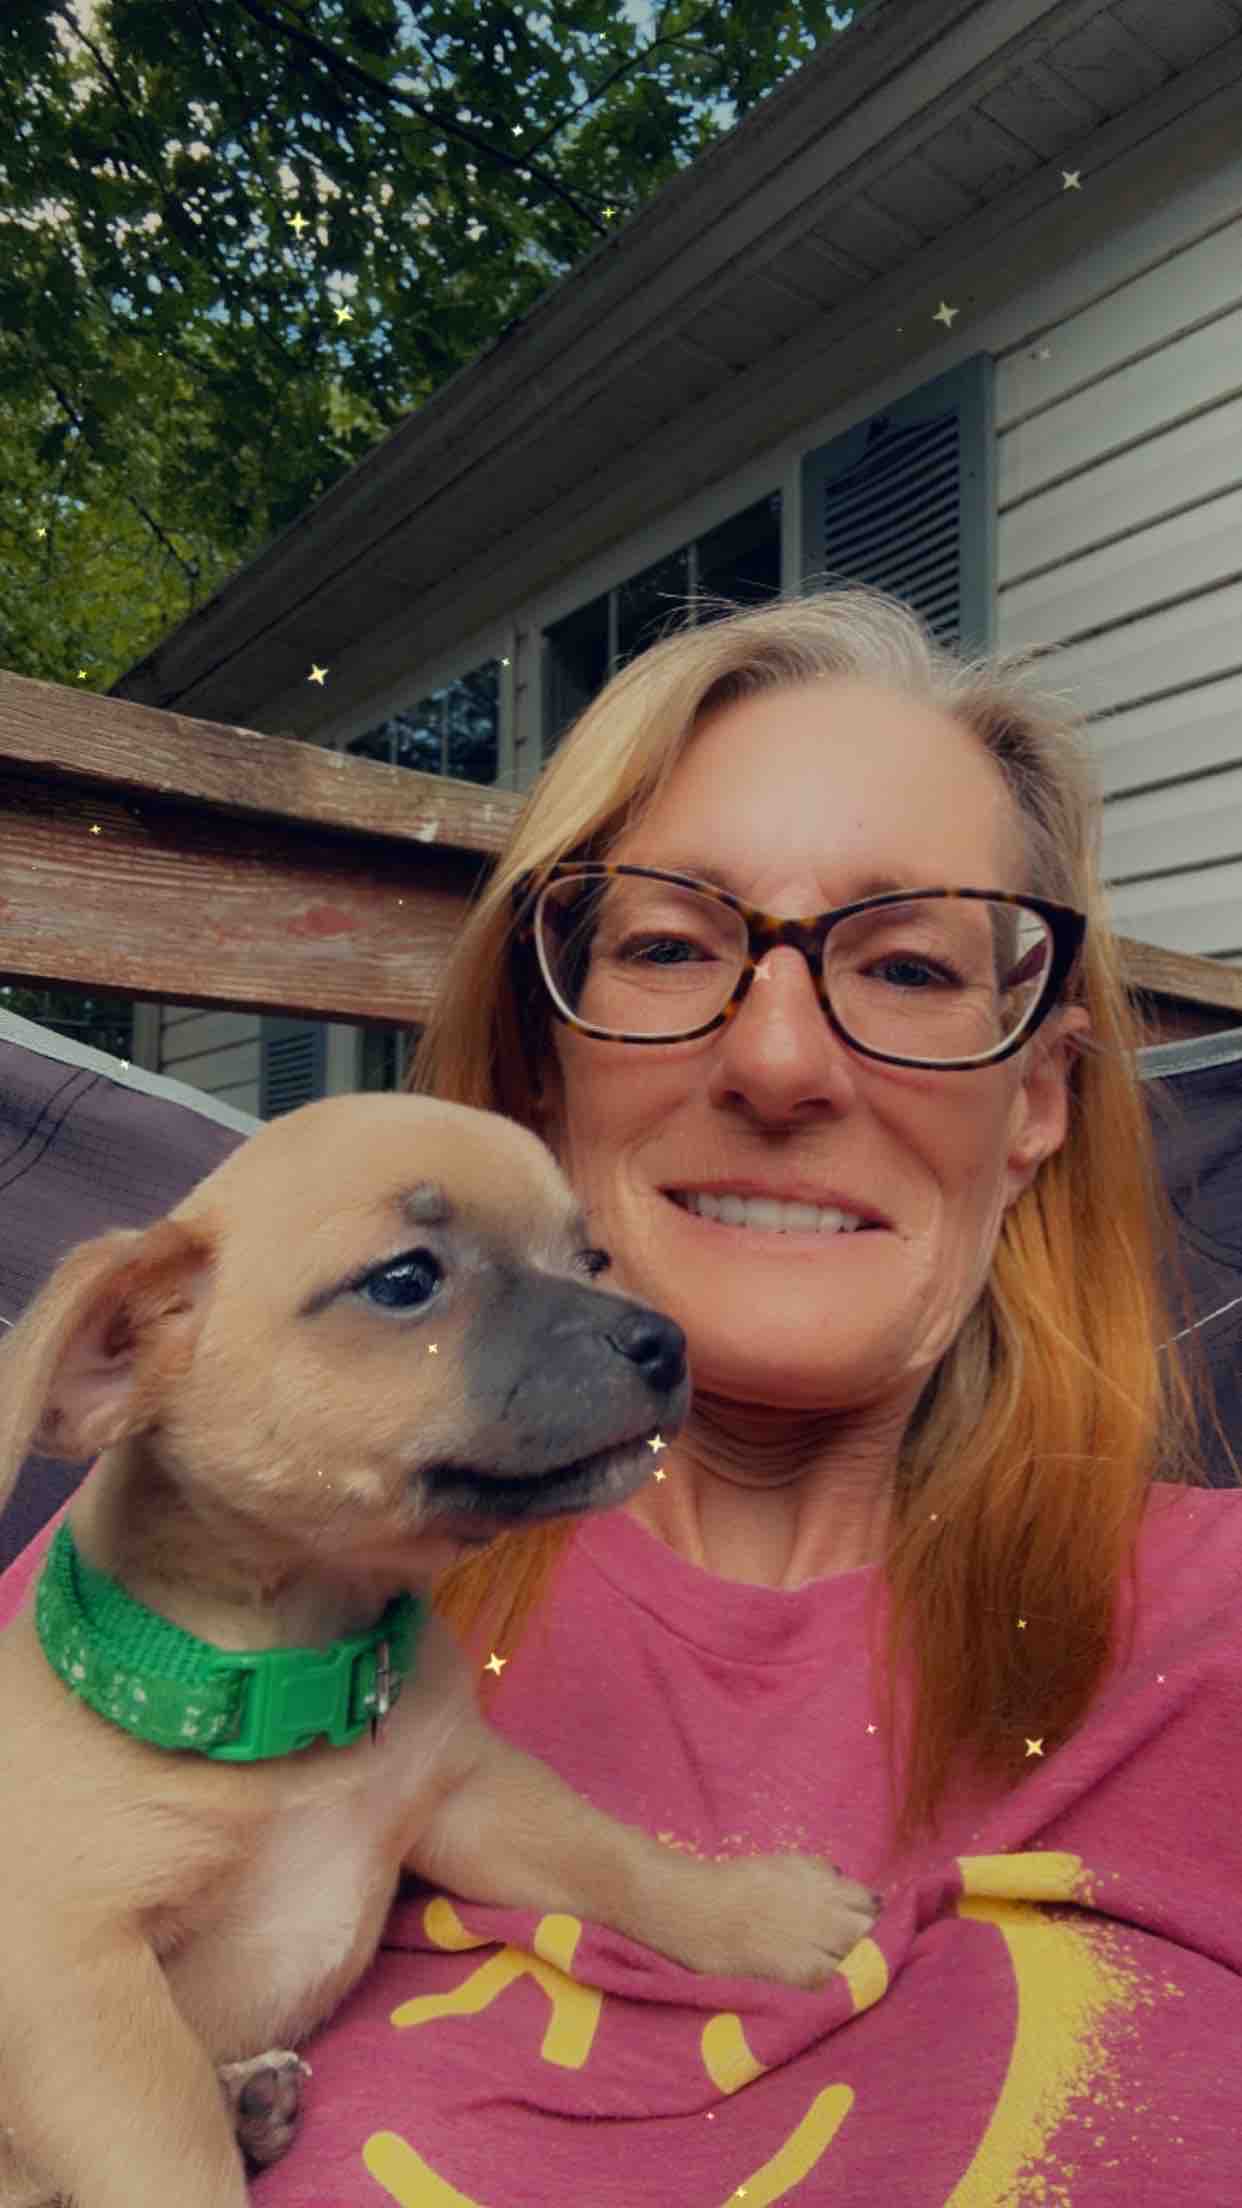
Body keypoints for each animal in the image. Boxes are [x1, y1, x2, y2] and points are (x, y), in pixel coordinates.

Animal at [0, 1093, 877, 2205]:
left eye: (589, 1256)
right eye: (404, 1282)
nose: (667, 1341)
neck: (297, 1676)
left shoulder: (469, 1798)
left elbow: (618, 1859)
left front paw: (756, 1909)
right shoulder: (76, 1988)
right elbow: (176, 2161)